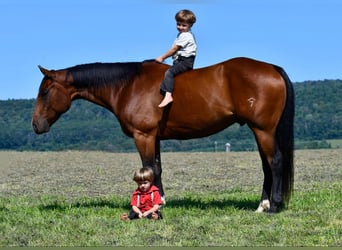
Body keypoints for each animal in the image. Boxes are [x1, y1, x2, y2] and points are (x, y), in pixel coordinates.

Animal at [32, 57, 294, 213]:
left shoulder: (144, 136)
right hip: (260, 131)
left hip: (263, 130)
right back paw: (262, 205)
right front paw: (160, 200)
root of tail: (273, 68)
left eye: (45, 92)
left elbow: (147, 167)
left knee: (275, 162)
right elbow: (156, 168)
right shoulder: (154, 137)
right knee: (267, 165)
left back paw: (274, 206)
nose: (36, 125)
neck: (127, 86)